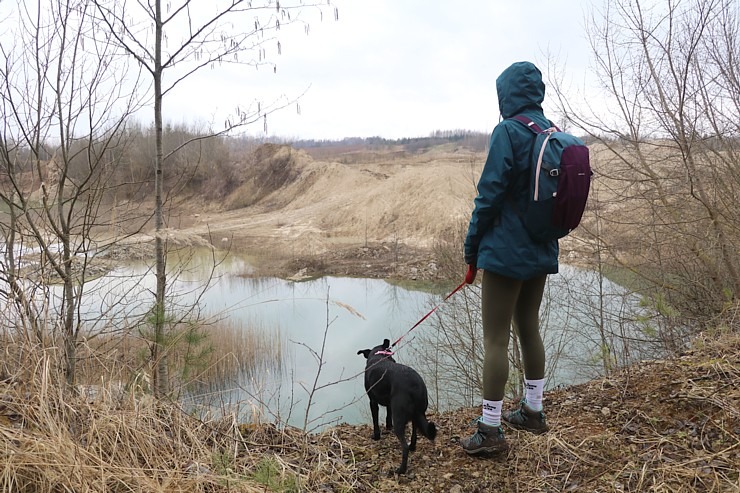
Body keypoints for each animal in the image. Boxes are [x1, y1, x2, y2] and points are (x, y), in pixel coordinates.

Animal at [356, 338, 436, 472]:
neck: (379, 355)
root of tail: (414, 386)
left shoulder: (372, 401)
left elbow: (375, 421)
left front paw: (376, 436)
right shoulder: (389, 403)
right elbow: (388, 415)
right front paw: (388, 427)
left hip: (399, 416)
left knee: (404, 446)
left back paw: (401, 469)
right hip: (417, 413)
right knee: (414, 434)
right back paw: (412, 447)